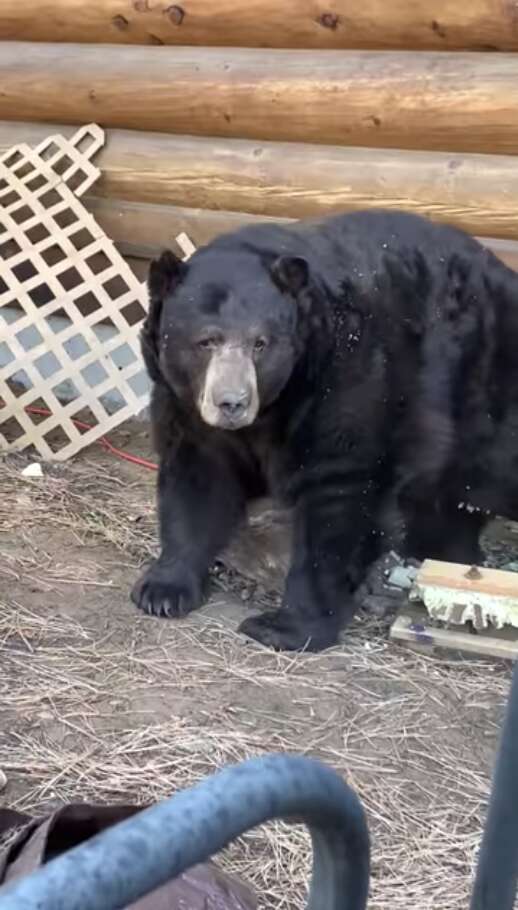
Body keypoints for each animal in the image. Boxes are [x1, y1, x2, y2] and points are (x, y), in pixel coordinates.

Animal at [132, 212, 518, 656]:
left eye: (261, 343)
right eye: (206, 341)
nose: (232, 403)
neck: (275, 406)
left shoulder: (347, 378)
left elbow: (336, 496)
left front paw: (285, 625)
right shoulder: (187, 407)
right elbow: (197, 479)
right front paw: (163, 589)